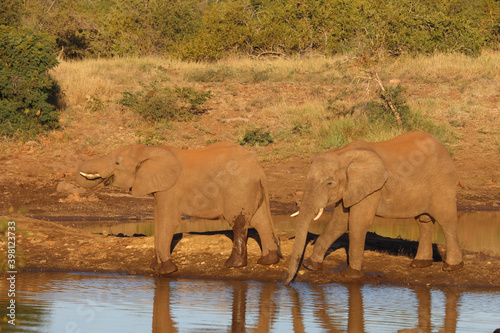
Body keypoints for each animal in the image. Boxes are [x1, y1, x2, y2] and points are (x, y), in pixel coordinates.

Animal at [77, 141, 282, 274]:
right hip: (251, 190)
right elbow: (158, 220)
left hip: (238, 189)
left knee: (238, 222)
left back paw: (233, 265)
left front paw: (167, 270)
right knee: (261, 221)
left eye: (117, 163)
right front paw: (155, 267)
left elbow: (169, 221)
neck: (150, 150)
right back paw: (267, 261)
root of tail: (259, 169)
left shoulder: (171, 188)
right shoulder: (160, 189)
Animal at [286, 131, 464, 284]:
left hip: (442, 181)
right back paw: (419, 264)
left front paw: (351, 275)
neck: (343, 154)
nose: (287, 283)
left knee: (446, 219)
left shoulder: (371, 188)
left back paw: (452, 267)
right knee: (424, 221)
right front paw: (311, 266)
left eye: (330, 183)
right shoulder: (350, 188)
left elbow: (357, 222)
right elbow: (339, 222)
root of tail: (444, 148)